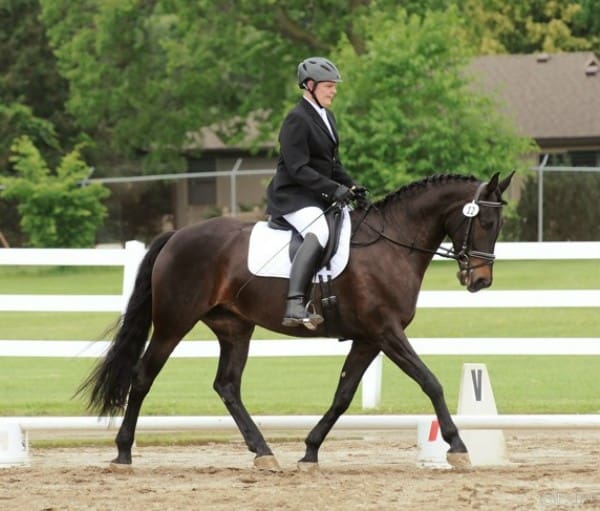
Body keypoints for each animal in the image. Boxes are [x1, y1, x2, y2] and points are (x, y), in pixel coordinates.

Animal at [82, 173, 516, 472]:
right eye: (484, 223)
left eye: (499, 227)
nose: (480, 281)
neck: (392, 244)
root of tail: (175, 235)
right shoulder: (386, 331)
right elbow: (430, 381)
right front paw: (458, 447)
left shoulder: (368, 339)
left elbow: (343, 395)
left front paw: (310, 450)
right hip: (174, 323)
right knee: (143, 376)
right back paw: (123, 452)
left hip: (234, 328)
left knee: (227, 386)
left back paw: (263, 452)